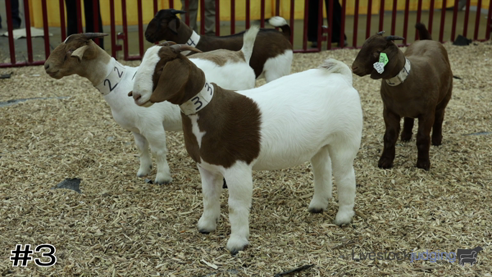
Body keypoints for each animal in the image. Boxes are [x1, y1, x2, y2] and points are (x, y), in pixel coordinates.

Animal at [43, 28, 258, 183]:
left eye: (70, 51)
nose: (46, 66)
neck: (120, 82)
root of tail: (240, 54)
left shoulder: (152, 126)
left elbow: (158, 150)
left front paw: (162, 177)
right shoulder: (136, 128)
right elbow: (141, 149)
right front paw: (143, 171)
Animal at [129, 44, 364, 253]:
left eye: (161, 68)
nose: (135, 95)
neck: (206, 110)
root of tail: (342, 78)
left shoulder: (237, 167)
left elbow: (236, 205)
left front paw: (237, 243)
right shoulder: (206, 166)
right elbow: (208, 196)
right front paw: (206, 226)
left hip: (345, 140)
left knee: (345, 176)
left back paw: (344, 217)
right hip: (320, 144)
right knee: (321, 170)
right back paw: (318, 205)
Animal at [350, 23, 454, 170]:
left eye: (377, 52)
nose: (354, 68)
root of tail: (428, 40)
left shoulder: (427, 113)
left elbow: (423, 138)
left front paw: (423, 164)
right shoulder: (389, 111)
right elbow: (389, 137)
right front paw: (385, 161)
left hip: (444, 99)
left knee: (439, 118)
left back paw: (437, 140)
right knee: (409, 118)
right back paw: (405, 136)